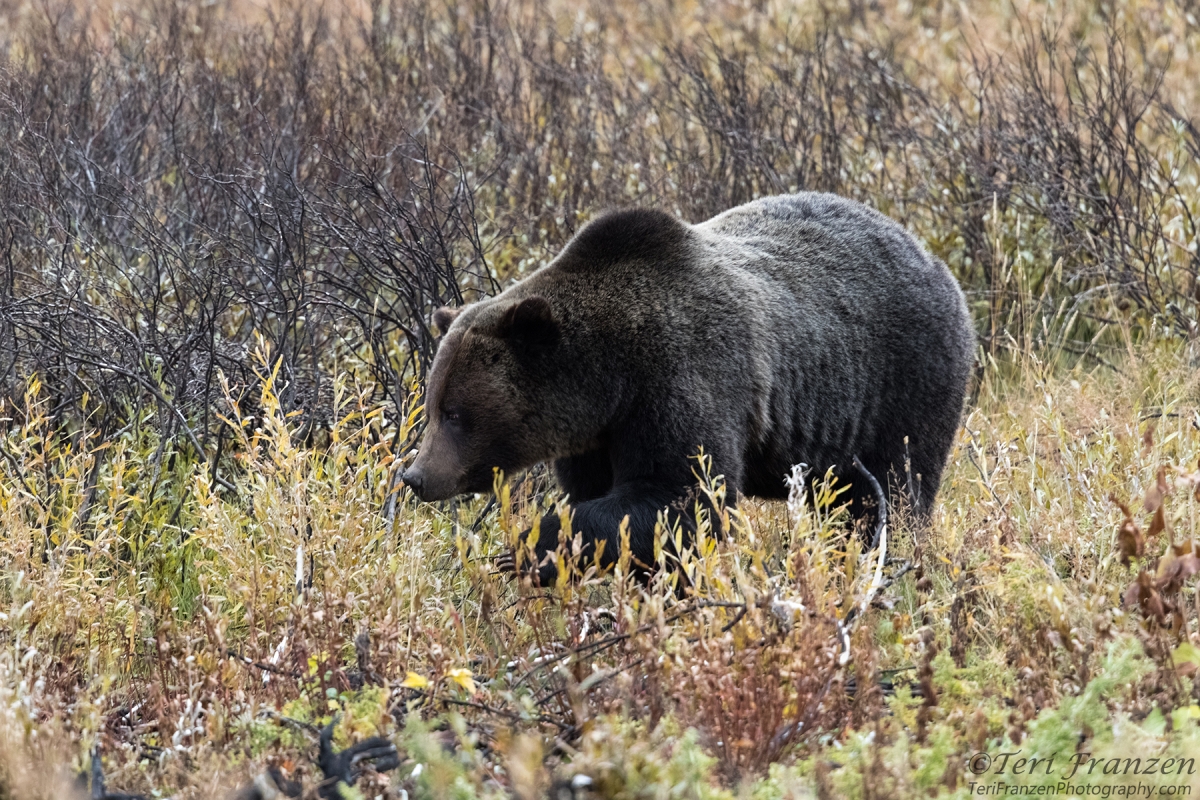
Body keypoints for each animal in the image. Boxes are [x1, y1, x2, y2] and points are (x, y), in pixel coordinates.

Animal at [403, 191, 974, 582]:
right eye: (432, 405)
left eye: (456, 414)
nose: (415, 476)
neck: (611, 381)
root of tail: (934, 258)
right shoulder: (595, 437)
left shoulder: (684, 375)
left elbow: (683, 496)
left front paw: (527, 547)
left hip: (904, 381)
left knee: (895, 490)